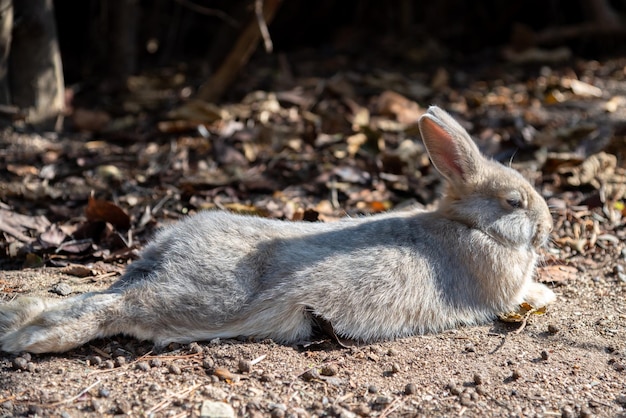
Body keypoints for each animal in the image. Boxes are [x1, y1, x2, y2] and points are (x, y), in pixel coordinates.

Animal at [1, 105, 556, 352]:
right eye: (514, 202)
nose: (547, 227)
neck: (471, 225)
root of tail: (161, 256)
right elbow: (523, 293)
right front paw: (546, 294)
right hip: (200, 302)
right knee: (116, 307)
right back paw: (30, 337)